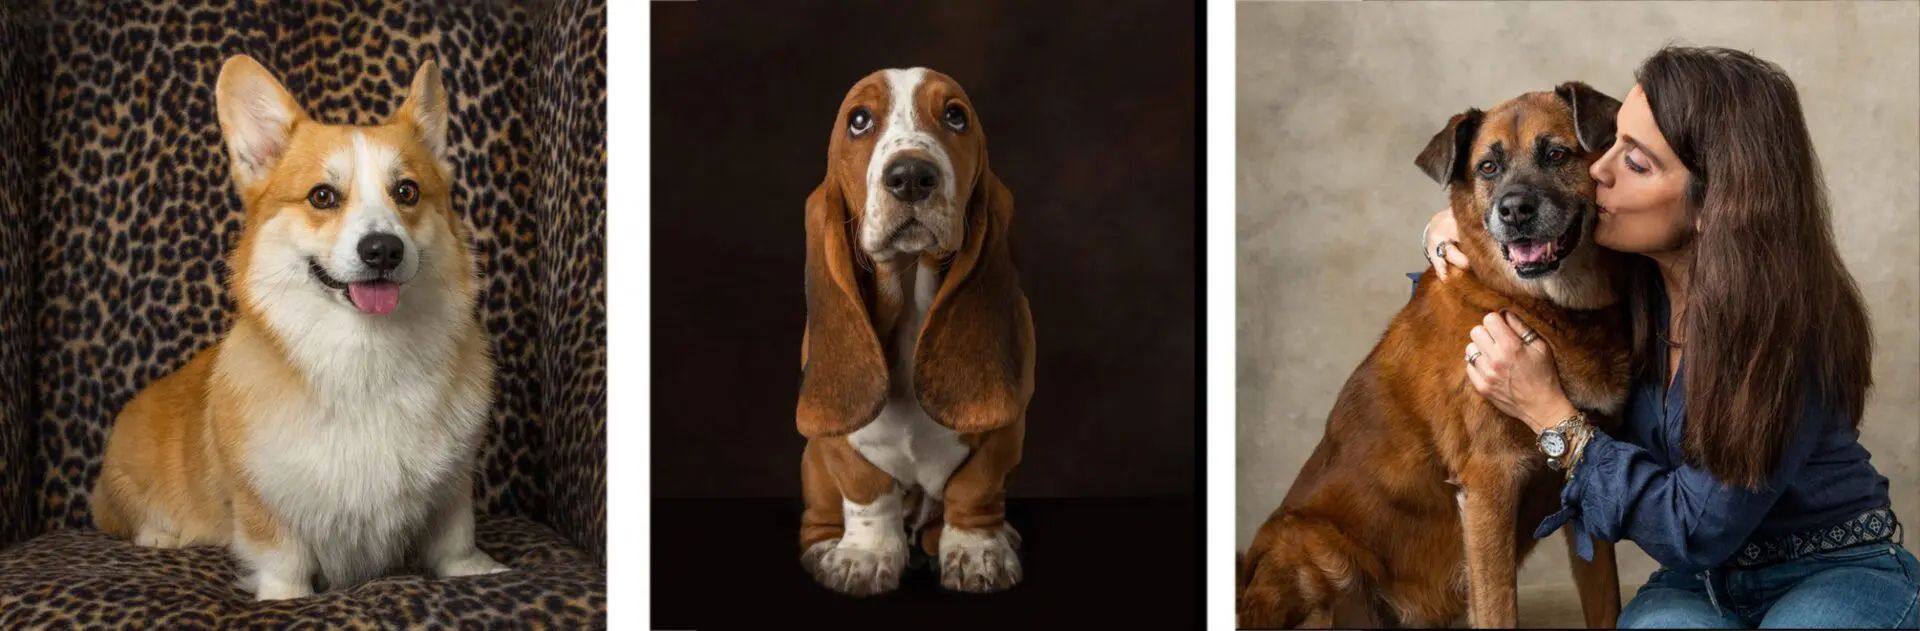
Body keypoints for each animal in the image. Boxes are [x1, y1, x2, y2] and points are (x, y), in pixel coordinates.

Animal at [90, 55, 510, 598]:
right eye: (323, 196)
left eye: (407, 192)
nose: (383, 249)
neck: (366, 354)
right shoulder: (263, 501)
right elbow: (282, 556)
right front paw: (286, 599)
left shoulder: (454, 484)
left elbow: (456, 535)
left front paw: (475, 570)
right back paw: (161, 534)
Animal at [794, 67, 1036, 594]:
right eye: (859, 120)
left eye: (956, 116)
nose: (909, 177)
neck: (908, 302)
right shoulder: (836, 443)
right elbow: (866, 489)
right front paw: (863, 555)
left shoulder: (1006, 428)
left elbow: (975, 488)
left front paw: (977, 553)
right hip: (812, 465)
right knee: (821, 516)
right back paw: (826, 548)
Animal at [1236, 82, 1628, 625]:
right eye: (1488, 167)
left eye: (1556, 154)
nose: (1514, 211)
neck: (1543, 309)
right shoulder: (1489, 482)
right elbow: (1499, 608)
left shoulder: (1583, 487)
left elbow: (1606, 600)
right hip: (1312, 545)